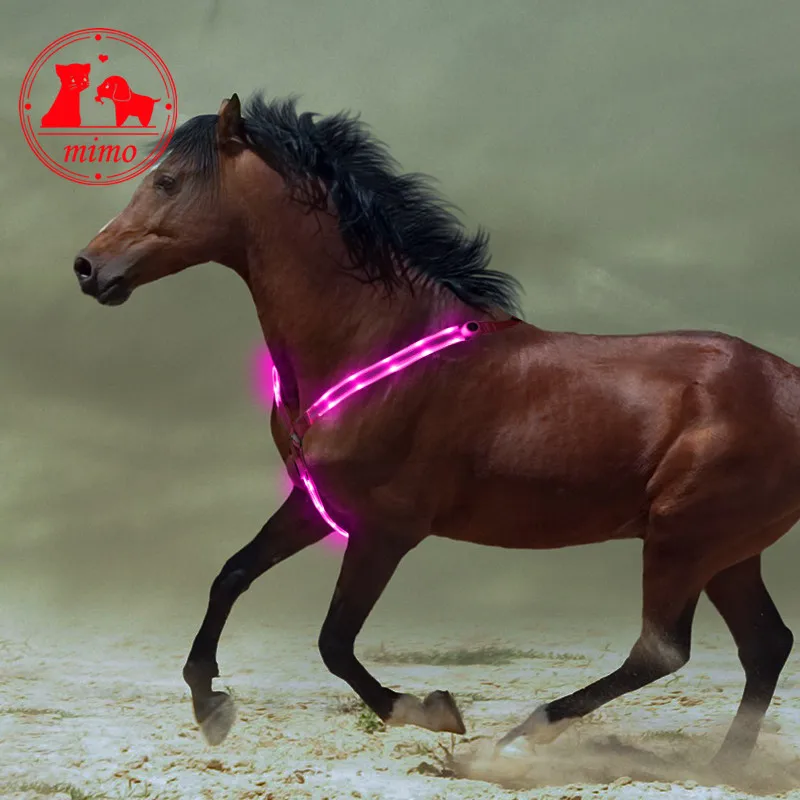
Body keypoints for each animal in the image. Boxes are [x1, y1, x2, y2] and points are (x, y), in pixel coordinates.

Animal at [73, 92, 800, 774]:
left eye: (168, 182)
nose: (87, 267)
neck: (377, 342)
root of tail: (789, 383)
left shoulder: (387, 528)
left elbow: (334, 642)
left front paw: (431, 710)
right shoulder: (319, 505)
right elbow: (232, 574)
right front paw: (211, 707)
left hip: (685, 539)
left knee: (661, 650)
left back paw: (519, 739)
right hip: (728, 551)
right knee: (765, 645)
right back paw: (726, 766)